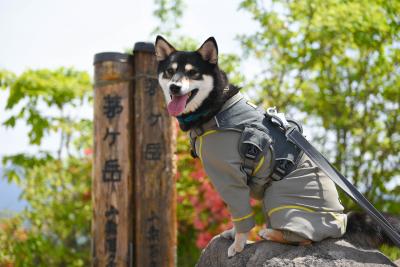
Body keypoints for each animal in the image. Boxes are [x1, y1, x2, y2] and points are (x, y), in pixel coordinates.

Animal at [154, 35, 400, 258]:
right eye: (169, 72)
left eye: (192, 72)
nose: (175, 87)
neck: (216, 107)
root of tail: (342, 221)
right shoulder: (233, 183)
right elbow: (237, 215)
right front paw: (232, 234)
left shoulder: (230, 177)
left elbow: (241, 216)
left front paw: (238, 245)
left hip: (278, 196)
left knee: (305, 240)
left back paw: (270, 234)